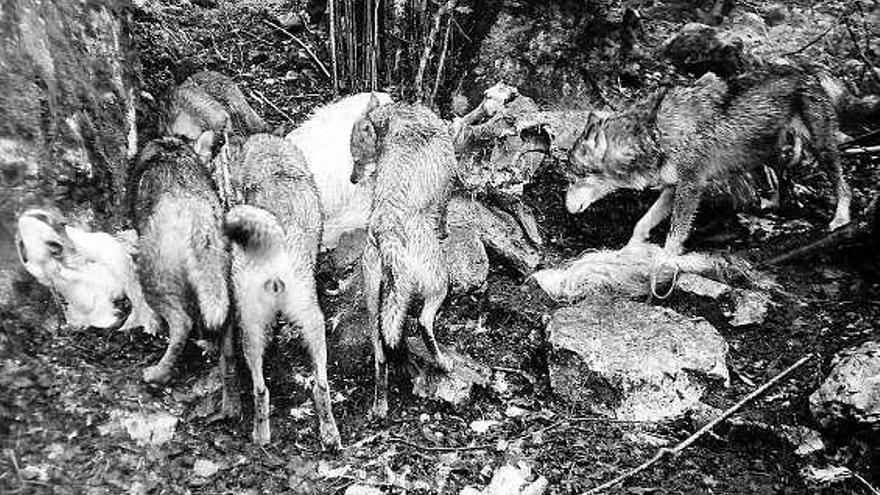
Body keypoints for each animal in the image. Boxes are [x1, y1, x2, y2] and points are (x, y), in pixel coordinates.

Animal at [129, 138, 230, 386]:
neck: (169, 151)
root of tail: (198, 221)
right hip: (217, 274)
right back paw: (208, 345)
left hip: (155, 279)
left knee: (182, 324)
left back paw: (158, 372)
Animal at [223, 134, 340, 452]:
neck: (277, 168)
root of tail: (272, 257)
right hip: (311, 319)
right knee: (320, 383)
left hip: (251, 327)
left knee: (261, 388)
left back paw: (263, 435)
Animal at [348, 96, 454, 418]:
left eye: (356, 159)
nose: (352, 179)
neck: (392, 118)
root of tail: (384, 232)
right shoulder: (446, 193)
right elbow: (443, 217)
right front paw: (445, 231)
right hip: (440, 283)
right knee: (423, 322)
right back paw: (442, 362)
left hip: (376, 307)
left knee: (381, 355)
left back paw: (381, 405)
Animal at [564, 68, 852, 258]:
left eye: (575, 177)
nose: (566, 208)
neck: (654, 132)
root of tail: (811, 73)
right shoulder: (673, 188)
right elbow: (641, 223)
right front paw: (627, 250)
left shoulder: (691, 187)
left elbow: (675, 234)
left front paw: (664, 261)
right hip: (766, 152)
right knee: (781, 179)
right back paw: (773, 203)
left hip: (821, 148)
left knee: (844, 186)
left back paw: (840, 218)